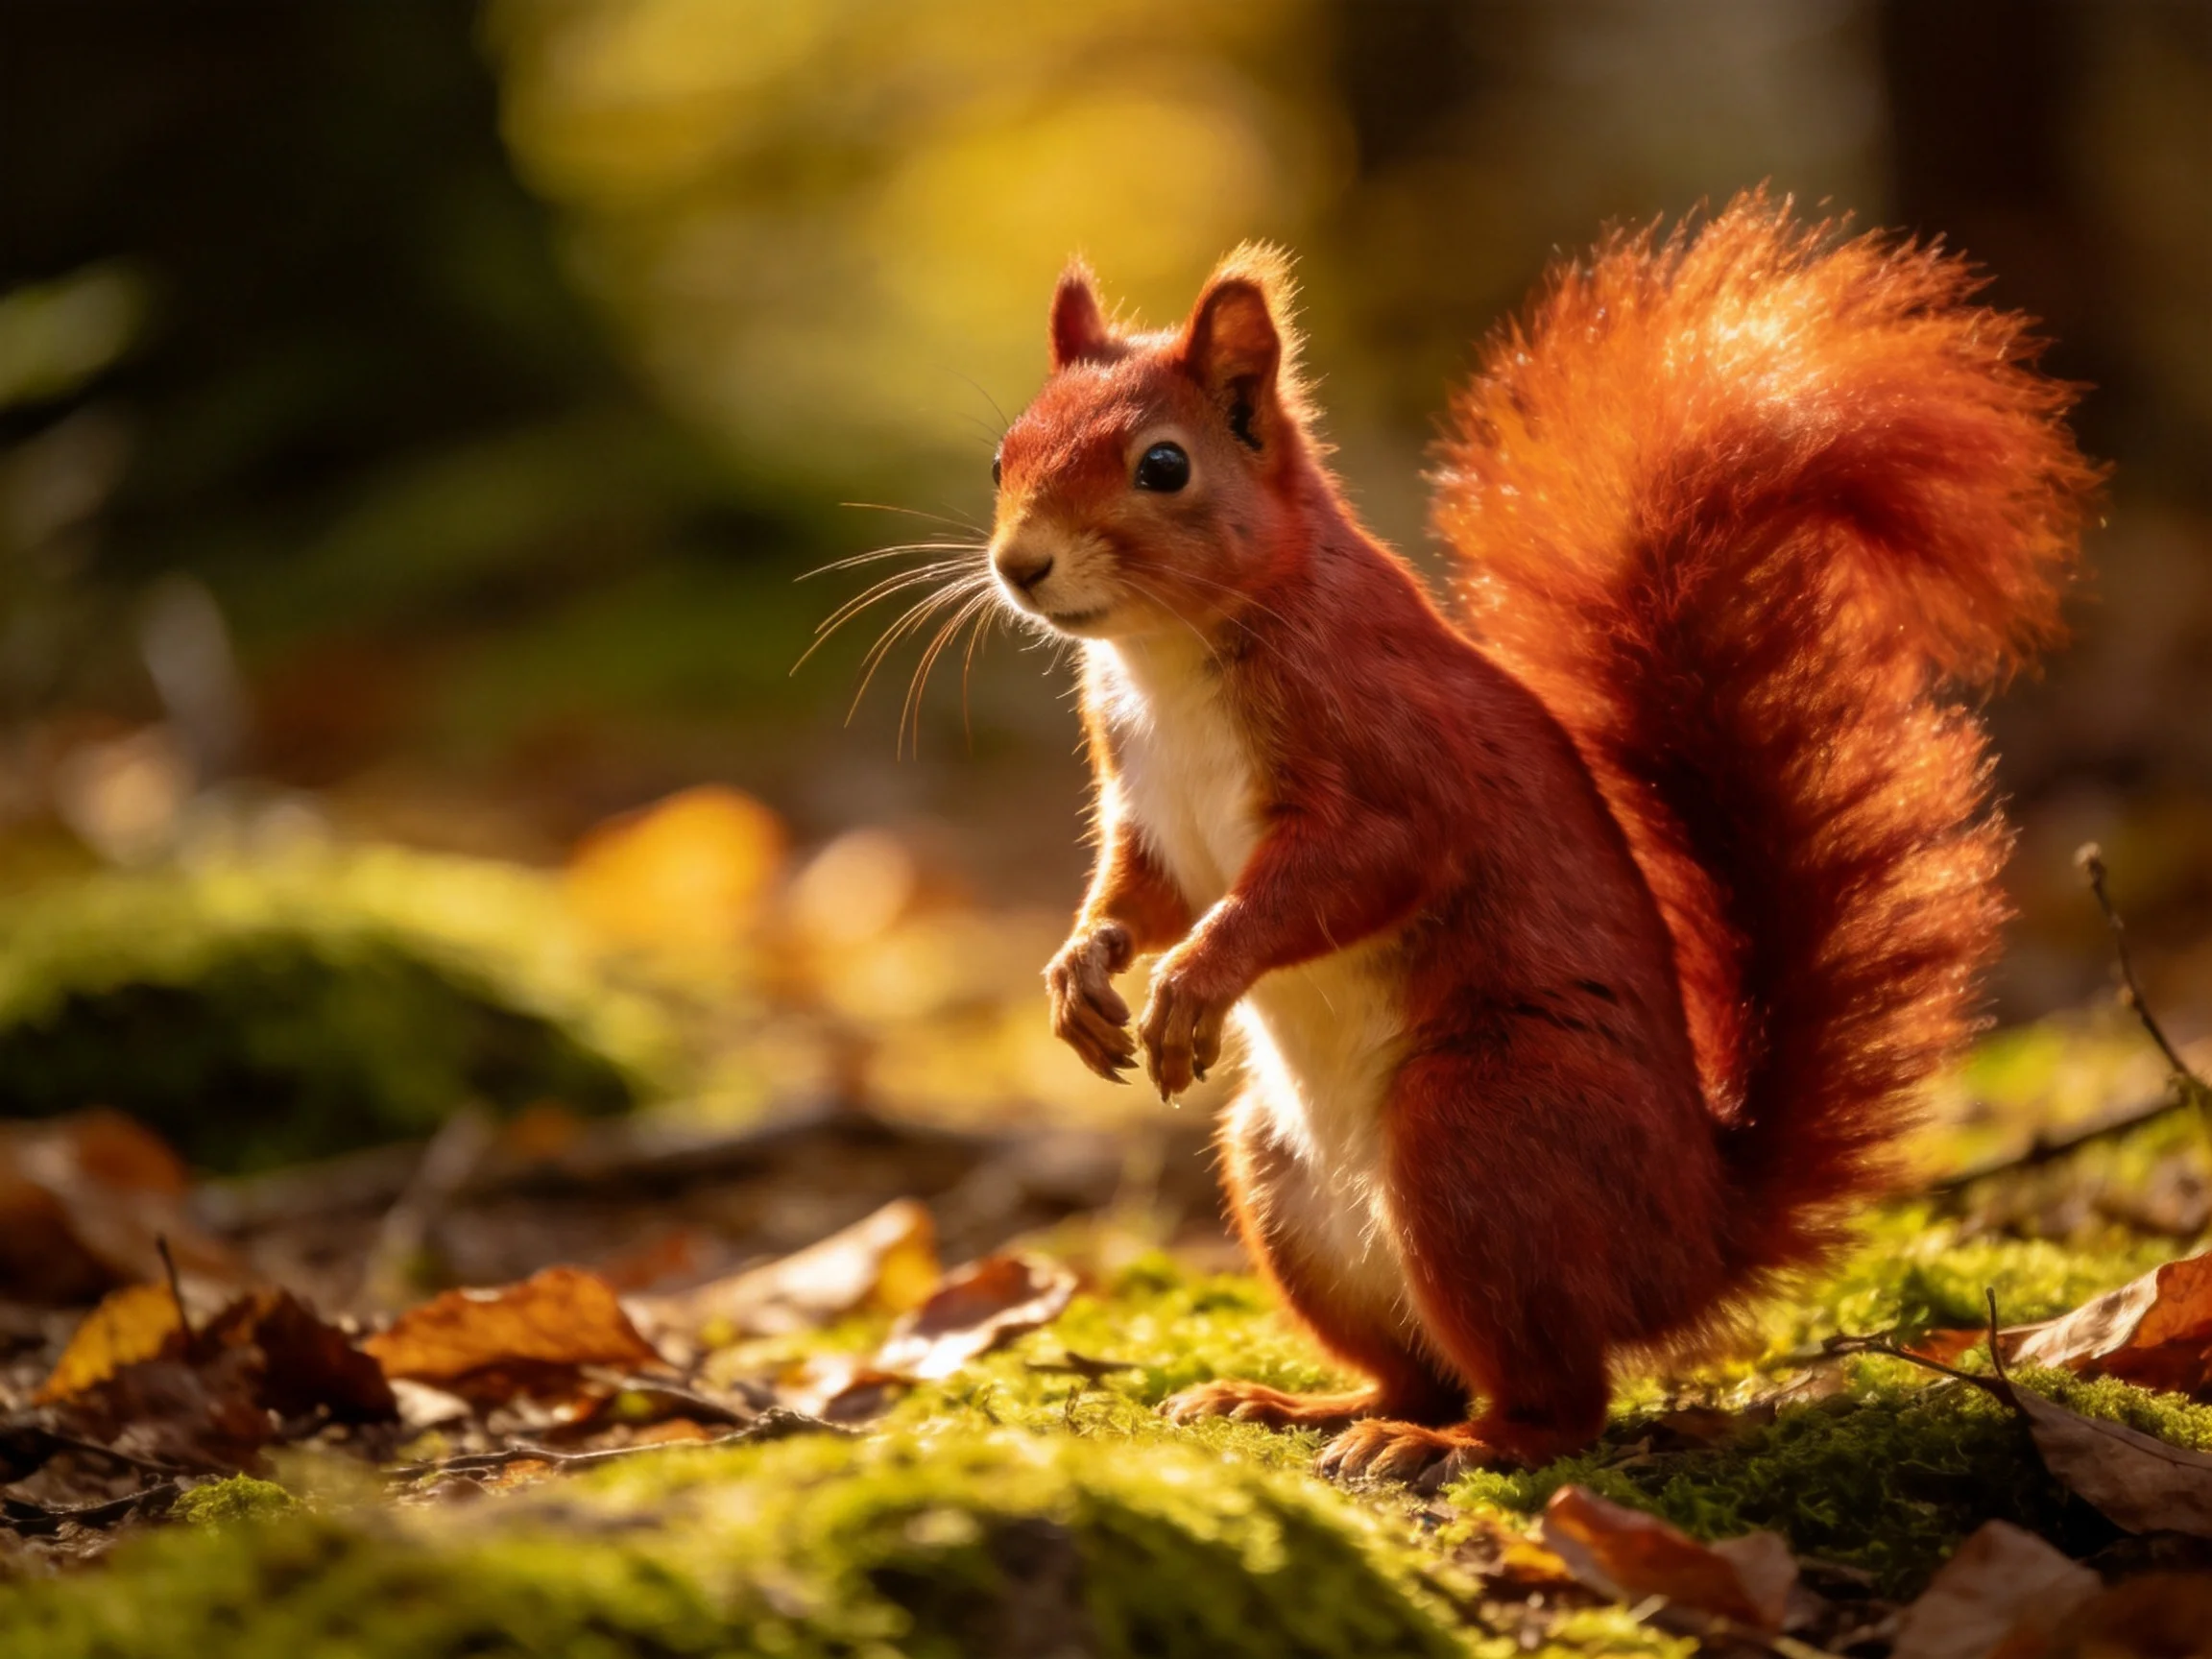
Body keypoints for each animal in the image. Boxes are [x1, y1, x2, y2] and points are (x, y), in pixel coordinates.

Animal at [980, 193, 2098, 1481]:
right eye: (1002, 454)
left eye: (1163, 466)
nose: (1018, 565)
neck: (1167, 655)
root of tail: (1694, 1239)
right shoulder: (1148, 805)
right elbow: (1139, 891)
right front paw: (1081, 974)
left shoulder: (1393, 766)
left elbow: (1330, 879)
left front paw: (1194, 981)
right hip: (1281, 1179)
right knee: (1414, 1366)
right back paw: (1296, 1407)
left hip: (1480, 1135)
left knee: (1561, 1402)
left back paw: (1442, 1445)